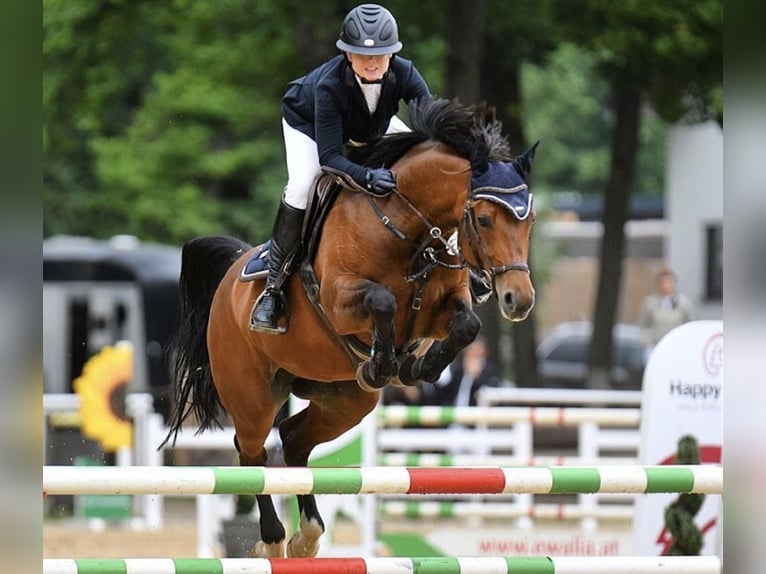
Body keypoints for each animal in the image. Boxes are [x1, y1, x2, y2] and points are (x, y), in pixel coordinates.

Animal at [163, 98, 537, 558]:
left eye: (529, 220)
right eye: (483, 220)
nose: (518, 300)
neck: (409, 229)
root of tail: (232, 273)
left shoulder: (444, 307)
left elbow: (466, 324)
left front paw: (416, 367)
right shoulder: (341, 300)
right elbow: (383, 301)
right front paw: (385, 364)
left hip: (345, 401)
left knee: (294, 439)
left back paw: (306, 536)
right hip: (252, 394)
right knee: (251, 453)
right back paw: (272, 540)